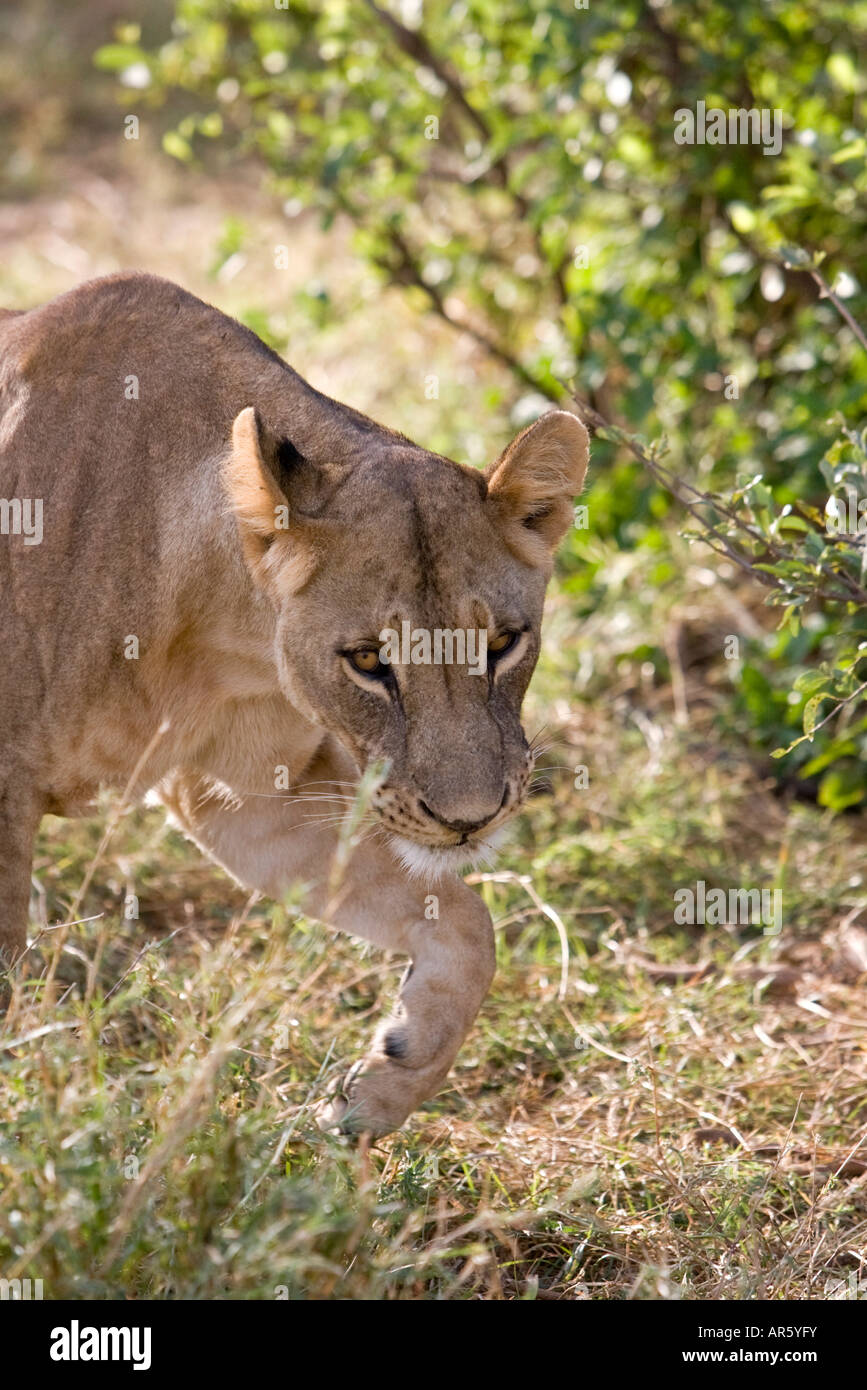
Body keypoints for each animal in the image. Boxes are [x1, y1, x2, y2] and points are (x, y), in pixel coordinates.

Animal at [0, 272, 588, 1137]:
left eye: (503, 644)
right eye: (369, 662)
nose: (469, 821)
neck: (222, 649)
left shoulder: (247, 798)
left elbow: (466, 924)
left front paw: (378, 1090)